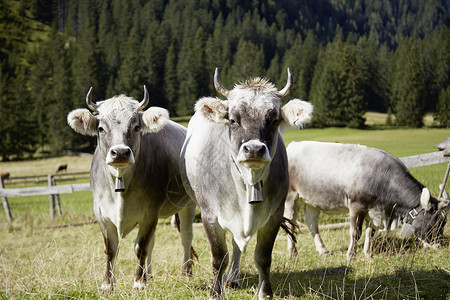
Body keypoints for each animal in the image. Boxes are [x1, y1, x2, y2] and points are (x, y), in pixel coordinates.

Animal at [67, 85, 195, 292]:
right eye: (101, 128)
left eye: (136, 127)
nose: (120, 152)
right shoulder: (101, 213)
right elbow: (111, 249)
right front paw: (107, 284)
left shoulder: (150, 212)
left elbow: (140, 247)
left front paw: (139, 282)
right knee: (153, 243)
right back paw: (150, 274)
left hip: (188, 205)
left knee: (186, 237)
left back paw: (186, 273)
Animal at [179, 68, 312, 300]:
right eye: (233, 120)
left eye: (273, 120)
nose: (254, 149)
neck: (248, 182)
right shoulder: (210, 216)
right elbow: (218, 258)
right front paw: (216, 292)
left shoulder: (274, 215)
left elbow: (263, 258)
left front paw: (265, 293)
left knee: (236, 245)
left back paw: (233, 278)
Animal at [284, 141, 448, 260]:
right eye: (435, 221)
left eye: (443, 222)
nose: (439, 245)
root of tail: (293, 145)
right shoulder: (357, 206)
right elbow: (356, 233)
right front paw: (351, 256)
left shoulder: (375, 211)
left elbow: (370, 233)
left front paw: (368, 254)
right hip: (291, 197)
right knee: (290, 224)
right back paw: (293, 253)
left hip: (313, 200)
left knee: (312, 223)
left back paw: (323, 250)